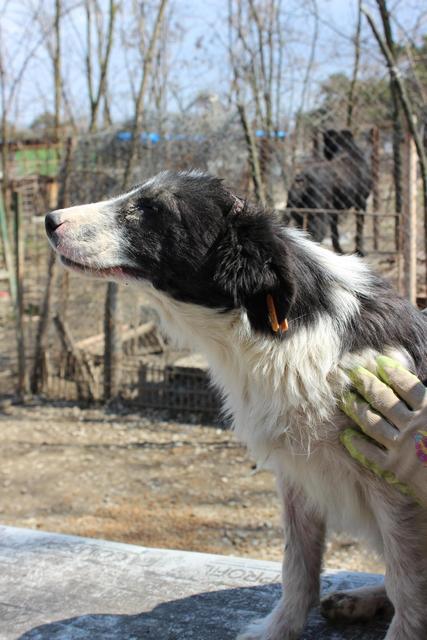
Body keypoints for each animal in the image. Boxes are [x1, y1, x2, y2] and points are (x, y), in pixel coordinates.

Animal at [46, 171, 427, 640]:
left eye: (152, 208)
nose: (49, 220)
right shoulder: (298, 476)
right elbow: (298, 568)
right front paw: (279, 629)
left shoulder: (391, 484)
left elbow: (406, 583)